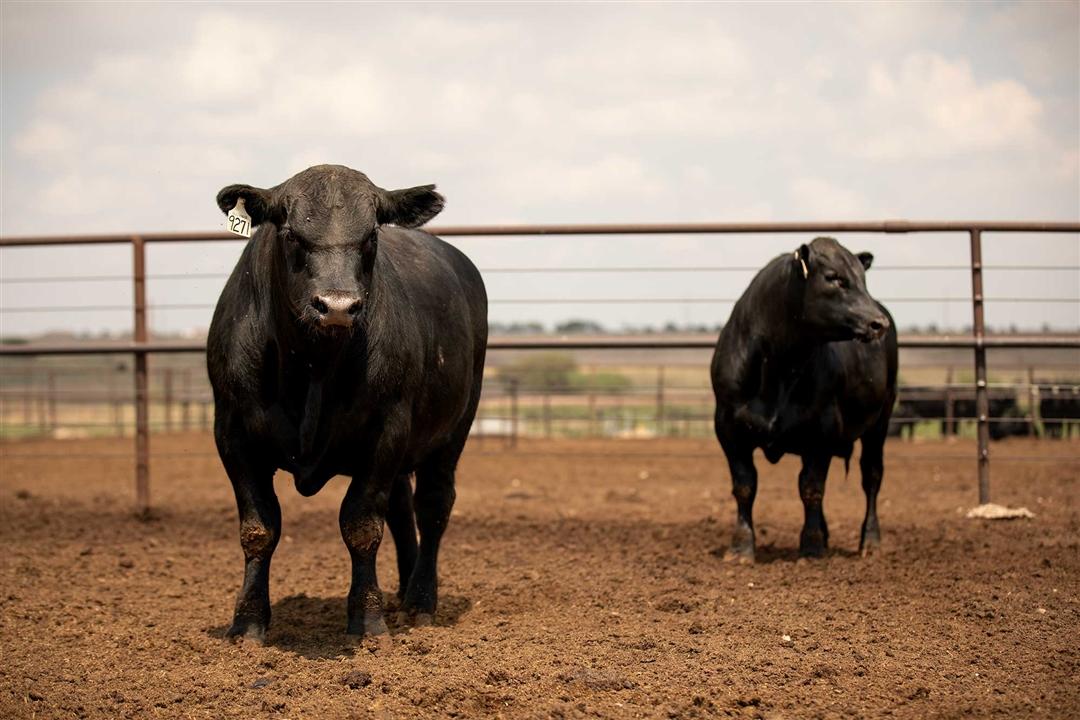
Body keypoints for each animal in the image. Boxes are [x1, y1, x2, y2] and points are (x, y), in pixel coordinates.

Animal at [203, 167, 490, 643]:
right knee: (402, 508)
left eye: (371, 235)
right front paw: (247, 623)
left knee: (433, 506)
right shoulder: (232, 432)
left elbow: (361, 526)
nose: (337, 306)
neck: (313, 368)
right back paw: (403, 590)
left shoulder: (386, 432)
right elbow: (259, 528)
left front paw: (367, 620)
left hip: (454, 429)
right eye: (291, 233)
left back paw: (420, 602)